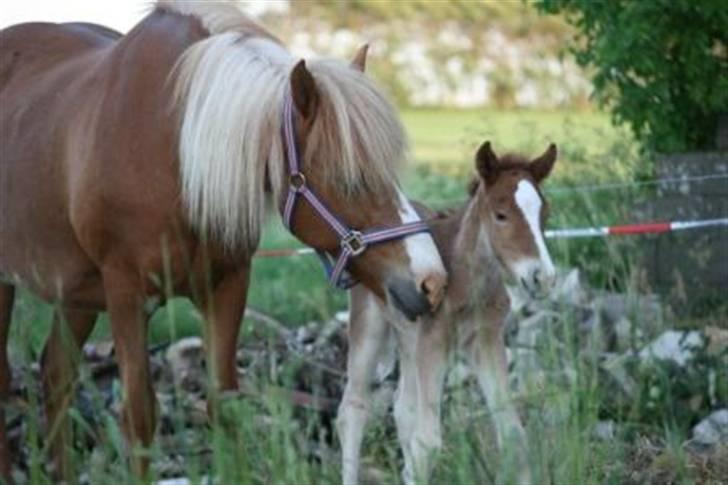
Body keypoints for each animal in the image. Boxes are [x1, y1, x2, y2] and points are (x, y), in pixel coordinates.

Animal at [0, 0, 446, 476]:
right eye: (350, 179)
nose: (432, 282)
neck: (171, 151)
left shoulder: (227, 285)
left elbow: (225, 405)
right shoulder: (126, 294)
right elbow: (139, 416)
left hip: (77, 292)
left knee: (55, 374)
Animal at [336, 142, 556, 484]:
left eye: (544, 214)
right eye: (501, 215)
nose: (542, 277)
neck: (468, 283)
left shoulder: (485, 340)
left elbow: (512, 433)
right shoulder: (434, 343)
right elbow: (427, 442)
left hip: (409, 338)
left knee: (403, 409)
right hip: (371, 325)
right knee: (352, 410)